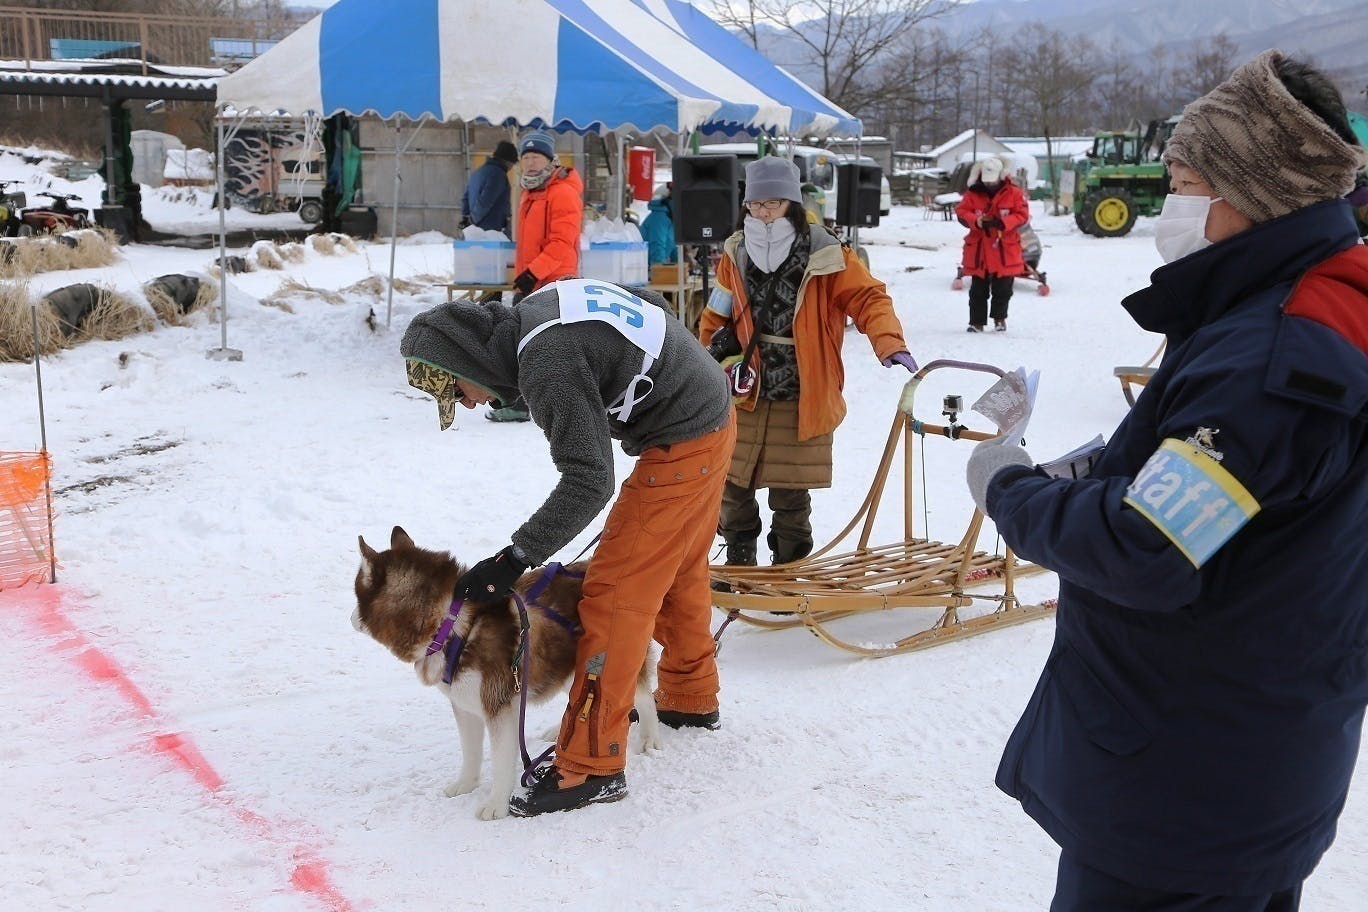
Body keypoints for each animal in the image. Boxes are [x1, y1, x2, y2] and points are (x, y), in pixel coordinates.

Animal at [352, 527, 662, 820]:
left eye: (356, 594)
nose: (350, 618)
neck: (451, 624)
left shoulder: (500, 708)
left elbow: (501, 763)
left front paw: (496, 805)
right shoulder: (464, 704)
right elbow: (471, 751)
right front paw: (466, 783)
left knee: (643, 698)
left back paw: (650, 737)